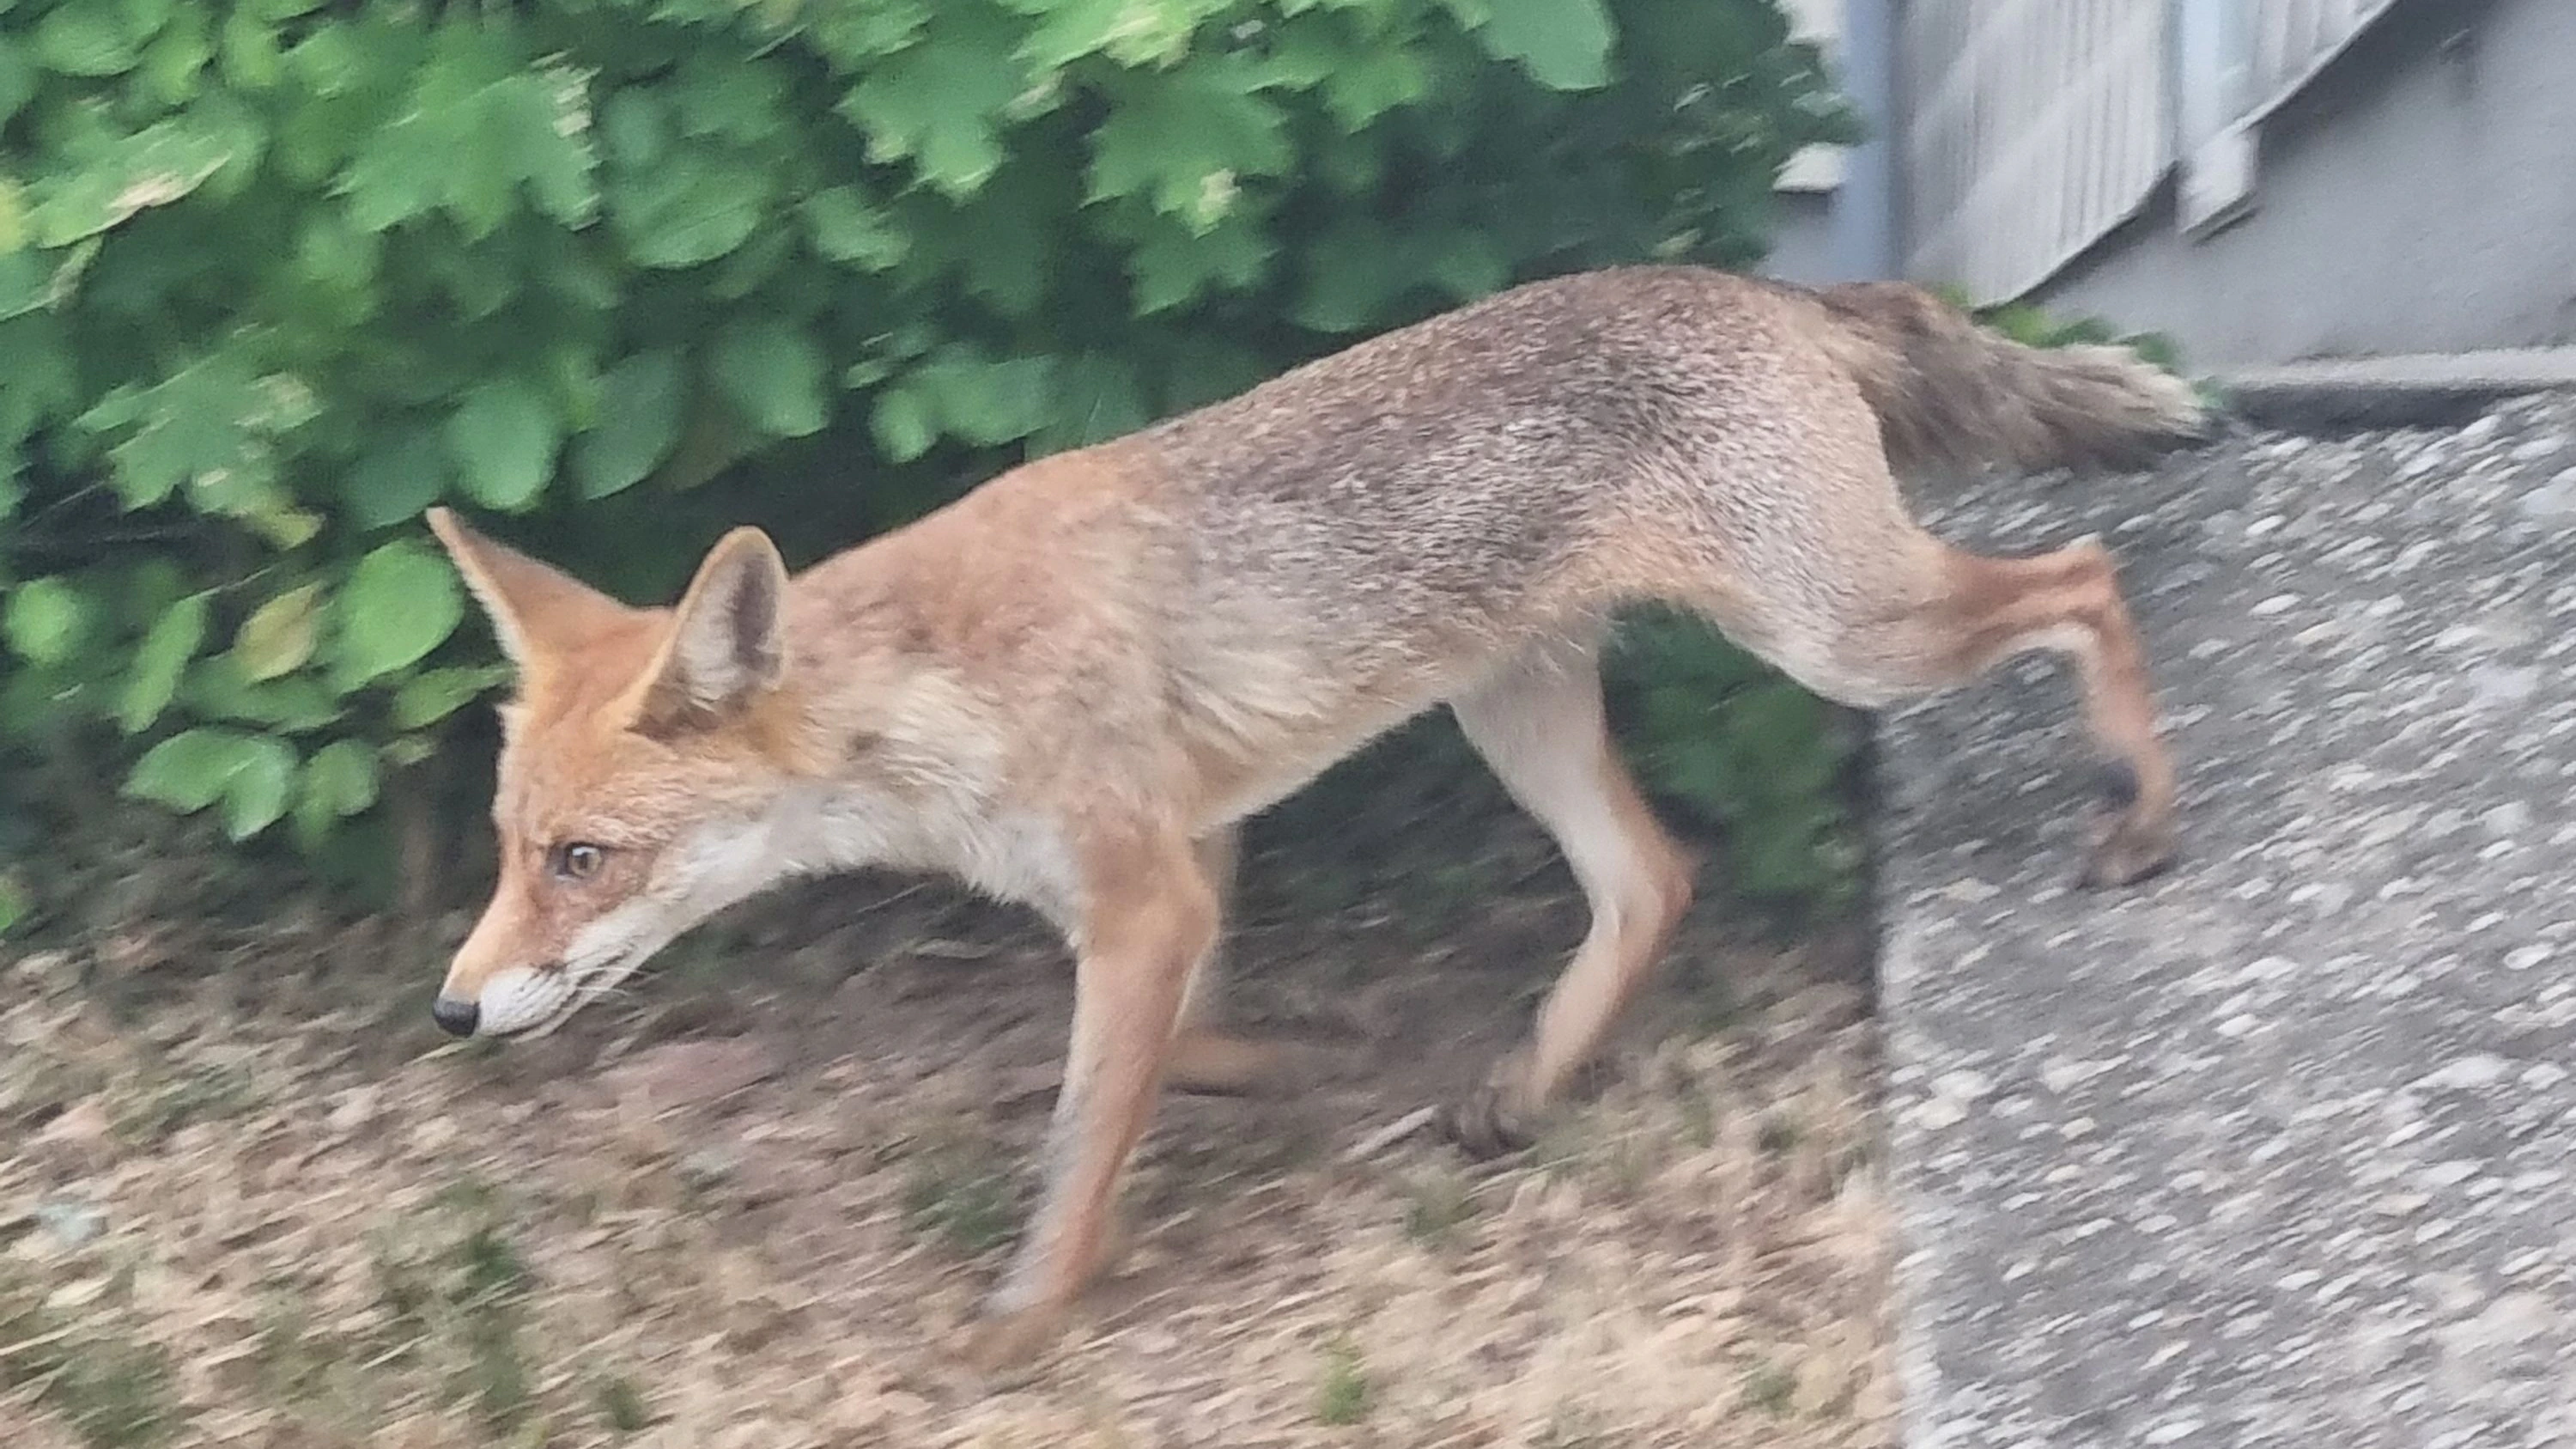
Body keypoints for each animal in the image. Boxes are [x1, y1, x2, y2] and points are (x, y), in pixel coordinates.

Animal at [421, 264, 2205, 1369]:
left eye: (583, 860)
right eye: (511, 850)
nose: (452, 1008)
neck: (942, 693)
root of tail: (1767, 289)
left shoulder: (1143, 890)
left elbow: (1084, 1133)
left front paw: (1028, 1312)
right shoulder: (1184, 859)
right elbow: (1164, 1049)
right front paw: (1284, 1066)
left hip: (1842, 637)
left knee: (2082, 581)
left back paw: (2143, 813)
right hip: (1527, 714)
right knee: (1655, 881)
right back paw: (1522, 1086)